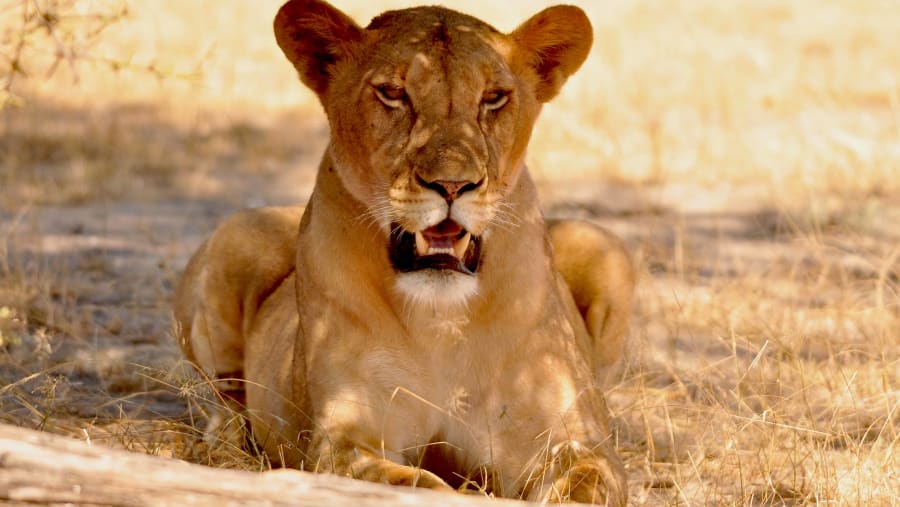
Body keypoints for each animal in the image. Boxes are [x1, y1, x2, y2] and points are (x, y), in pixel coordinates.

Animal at [174, 0, 634, 504]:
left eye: (494, 98)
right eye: (393, 93)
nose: (452, 185)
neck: (441, 322)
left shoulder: (574, 440)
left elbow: (582, 484)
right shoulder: (345, 437)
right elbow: (417, 485)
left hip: (600, 243)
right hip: (238, 233)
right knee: (224, 401)